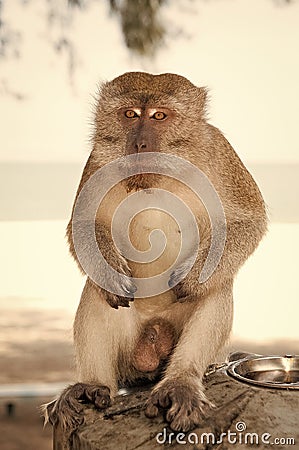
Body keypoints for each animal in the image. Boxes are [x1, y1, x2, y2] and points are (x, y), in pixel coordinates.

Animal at [46, 72, 268, 434]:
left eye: (160, 116)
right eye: (130, 114)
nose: (139, 144)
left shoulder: (219, 152)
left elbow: (248, 221)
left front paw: (191, 277)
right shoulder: (97, 160)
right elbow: (83, 225)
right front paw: (109, 271)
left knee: (216, 286)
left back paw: (180, 382)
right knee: (98, 290)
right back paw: (93, 385)